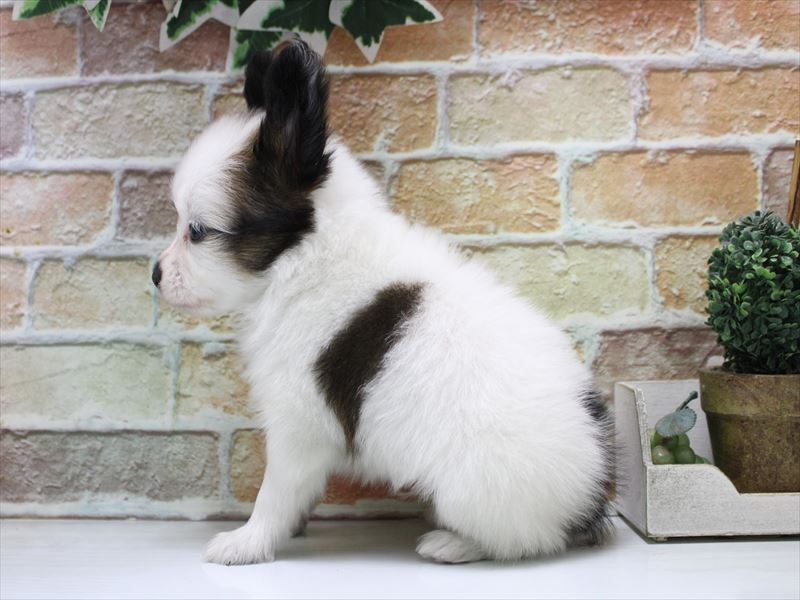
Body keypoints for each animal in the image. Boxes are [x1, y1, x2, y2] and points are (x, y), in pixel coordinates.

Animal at [154, 41, 614, 565]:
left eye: (197, 231)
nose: (155, 275)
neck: (306, 257)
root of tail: (593, 492)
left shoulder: (298, 423)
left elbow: (274, 493)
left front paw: (248, 541)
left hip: (474, 488)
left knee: (523, 540)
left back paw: (453, 543)